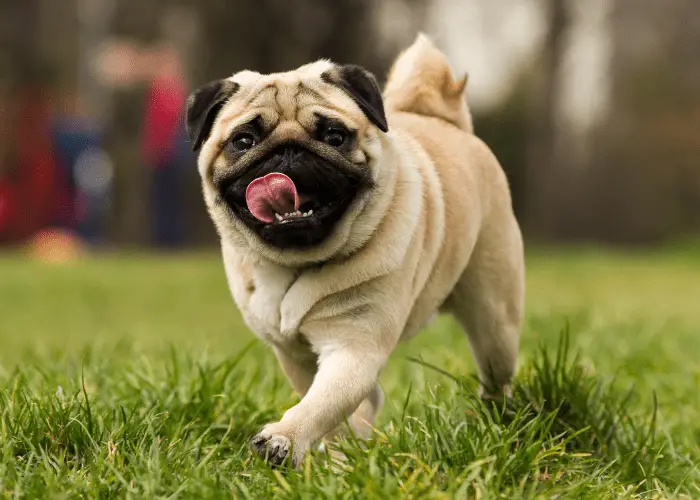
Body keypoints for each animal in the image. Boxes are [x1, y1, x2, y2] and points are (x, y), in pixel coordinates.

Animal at [186, 33, 524, 466]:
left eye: (334, 136)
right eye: (244, 141)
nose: (288, 150)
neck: (297, 262)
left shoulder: (353, 347)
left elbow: (321, 402)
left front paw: (284, 439)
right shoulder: (295, 354)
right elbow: (328, 404)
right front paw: (331, 450)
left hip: (495, 319)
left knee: (496, 371)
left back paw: (497, 419)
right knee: (369, 400)